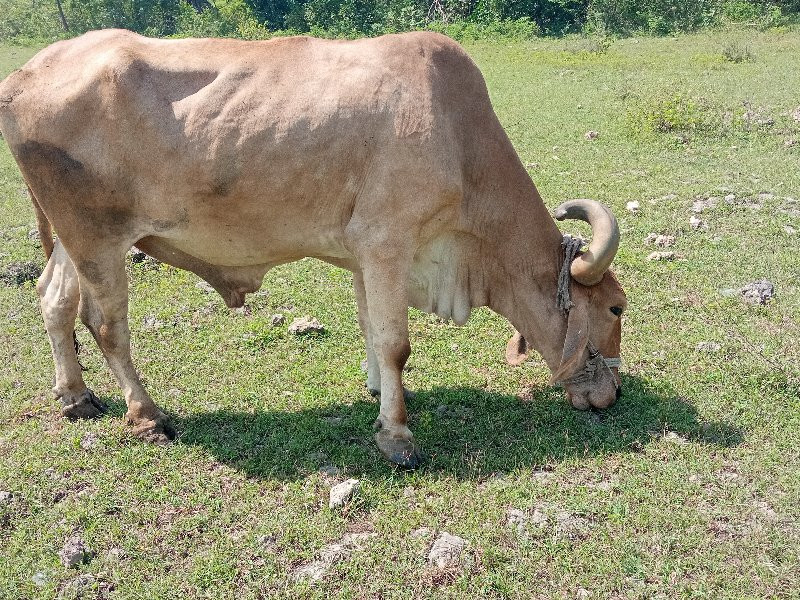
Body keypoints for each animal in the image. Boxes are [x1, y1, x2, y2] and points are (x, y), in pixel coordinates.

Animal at [0, 28, 624, 468]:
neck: (461, 142)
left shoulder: (363, 255)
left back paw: (76, 396)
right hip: (96, 237)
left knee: (54, 299)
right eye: (616, 308)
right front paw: (397, 437)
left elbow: (372, 329)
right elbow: (396, 344)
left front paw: (378, 393)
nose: (612, 394)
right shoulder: (388, 243)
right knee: (106, 325)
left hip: (78, 242)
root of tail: (24, 75)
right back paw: (147, 415)